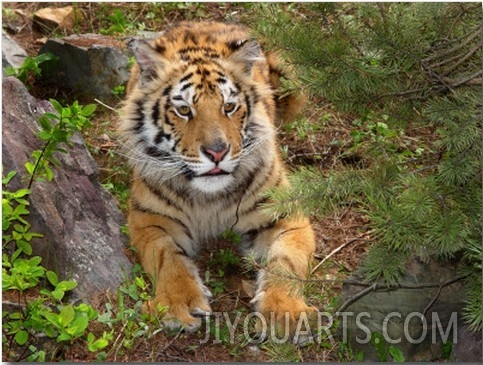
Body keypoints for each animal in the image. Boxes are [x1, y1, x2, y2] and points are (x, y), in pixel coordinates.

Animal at [118, 20, 318, 336]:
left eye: (229, 107)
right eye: (184, 110)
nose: (217, 152)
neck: (208, 197)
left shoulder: (288, 216)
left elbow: (286, 261)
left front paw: (284, 311)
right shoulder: (149, 219)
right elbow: (167, 258)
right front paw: (179, 304)